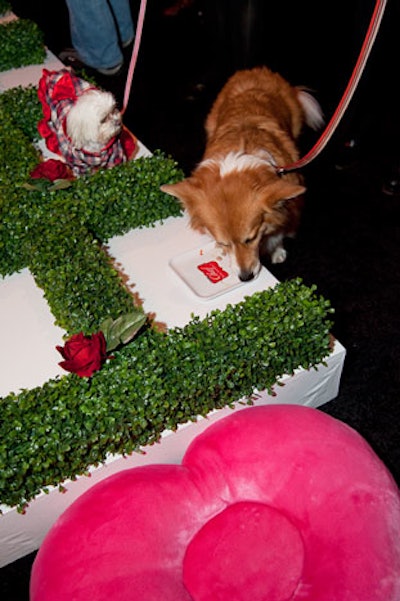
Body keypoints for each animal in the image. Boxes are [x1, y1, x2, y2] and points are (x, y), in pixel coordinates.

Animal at [161, 65, 324, 282]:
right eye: (224, 243)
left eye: (251, 238)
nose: (246, 277)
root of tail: (257, 70)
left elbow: (278, 233)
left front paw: (277, 251)